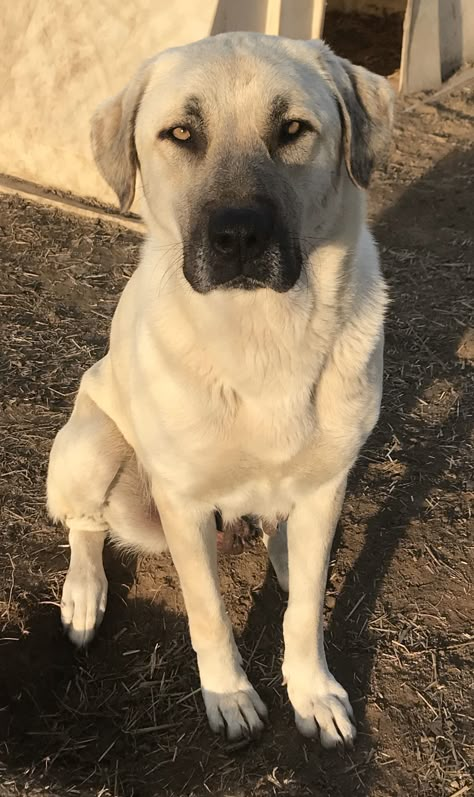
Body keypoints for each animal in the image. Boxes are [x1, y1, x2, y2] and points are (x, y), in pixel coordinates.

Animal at [48, 31, 394, 748]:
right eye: (181, 133)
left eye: (293, 129)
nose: (238, 237)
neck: (263, 337)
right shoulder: (181, 504)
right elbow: (207, 611)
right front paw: (230, 695)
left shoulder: (327, 484)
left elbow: (304, 612)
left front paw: (313, 692)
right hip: (94, 446)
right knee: (86, 527)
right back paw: (83, 596)